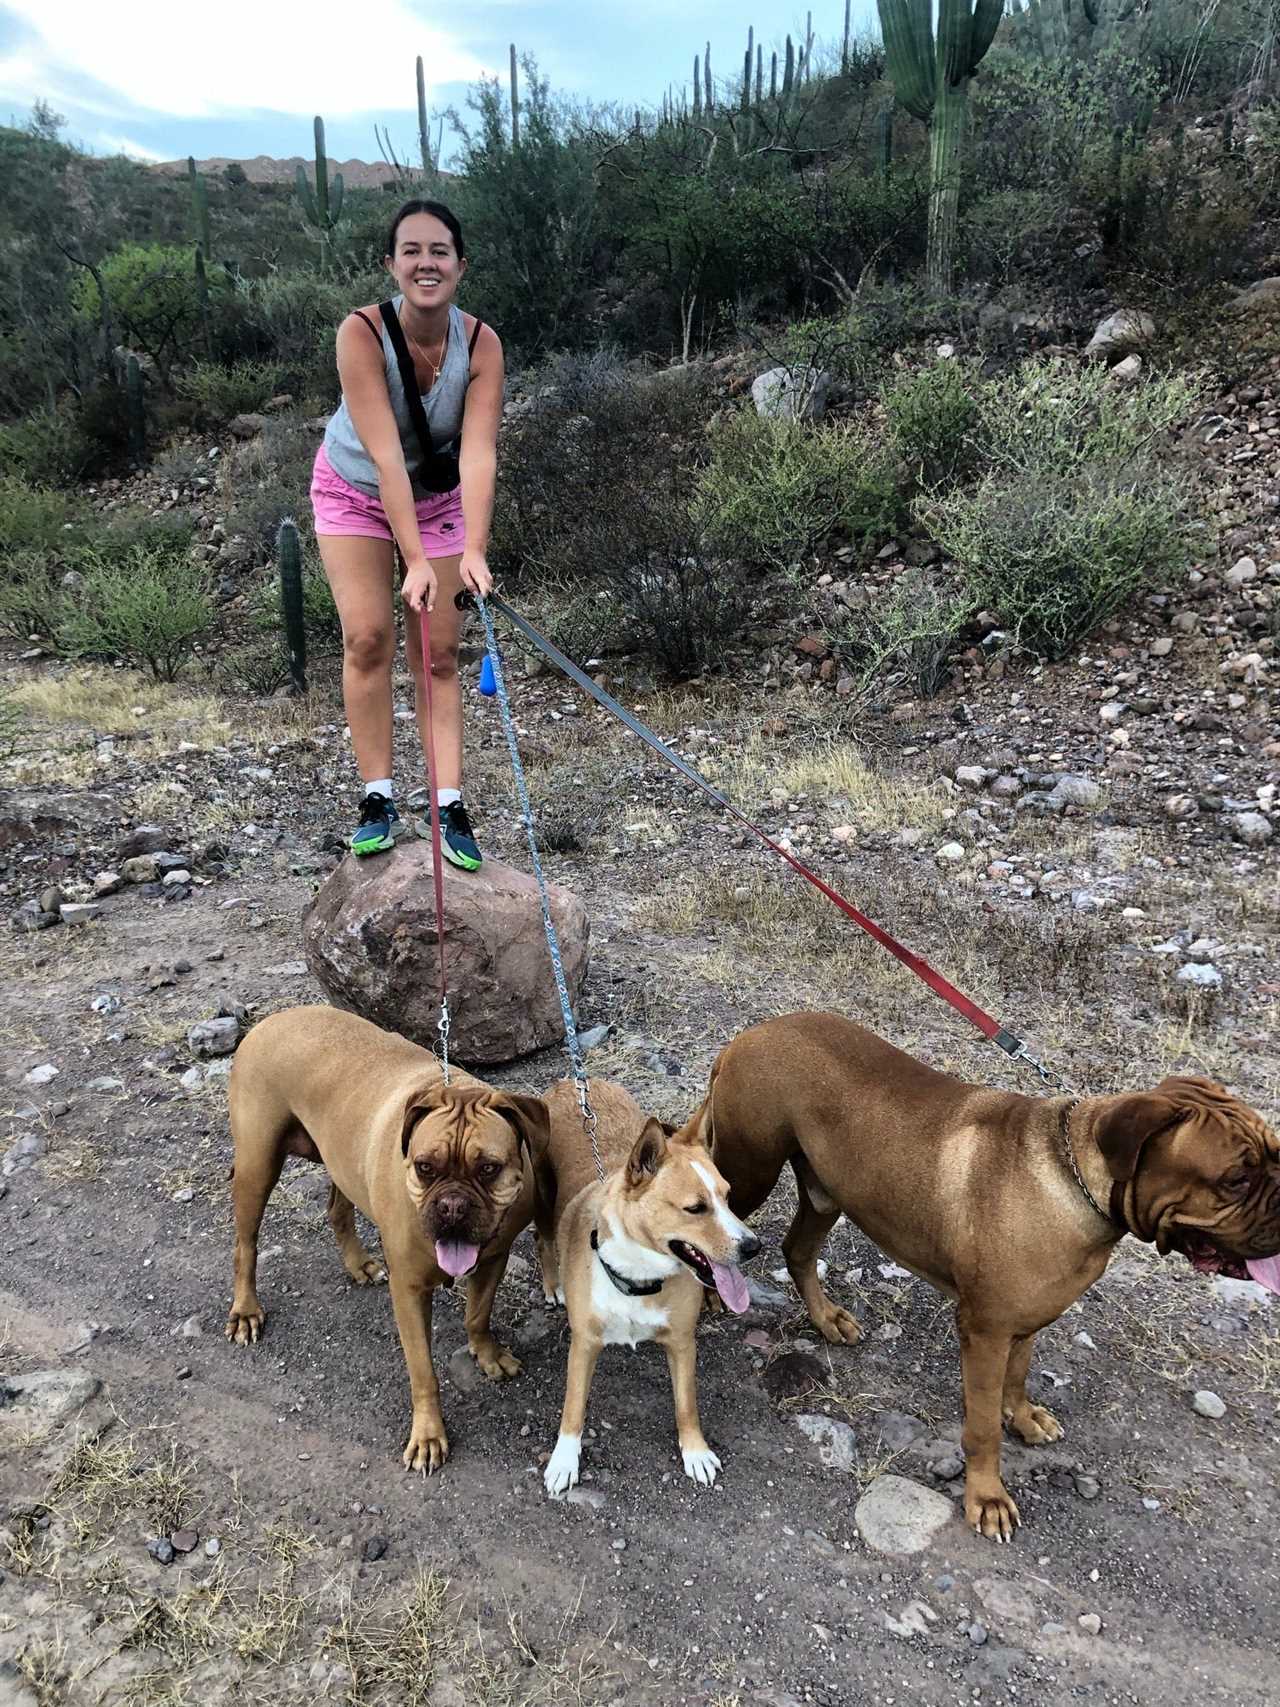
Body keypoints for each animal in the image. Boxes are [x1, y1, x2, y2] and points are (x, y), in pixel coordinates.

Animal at [228, 1003, 549, 1474]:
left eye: (489, 1169)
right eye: (425, 1167)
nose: (452, 1206)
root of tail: (272, 1019)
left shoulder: (494, 1258)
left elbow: (477, 1315)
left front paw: (486, 1355)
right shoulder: (410, 1290)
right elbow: (423, 1371)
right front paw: (429, 1435)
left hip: (338, 1157)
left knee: (338, 1209)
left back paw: (357, 1264)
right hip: (257, 1165)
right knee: (246, 1246)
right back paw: (246, 1311)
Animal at [532, 1078, 761, 1495]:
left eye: (727, 1197)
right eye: (695, 1208)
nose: (754, 1247)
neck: (638, 1277)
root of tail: (574, 1081)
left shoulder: (682, 1342)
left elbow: (686, 1404)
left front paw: (695, 1451)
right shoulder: (584, 1344)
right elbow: (573, 1407)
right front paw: (564, 1460)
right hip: (542, 1198)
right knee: (543, 1239)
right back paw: (553, 1284)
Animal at [686, 1010, 1276, 1549]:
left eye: (1275, 1155)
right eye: (1235, 1179)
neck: (1077, 1180)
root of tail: (748, 1036)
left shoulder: (1025, 1318)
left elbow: (1019, 1375)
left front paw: (1024, 1415)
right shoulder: (985, 1332)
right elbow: (983, 1426)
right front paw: (987, 1497)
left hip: (825, 1191)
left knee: (798, 1251)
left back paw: (827, 1318)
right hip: (750, 1171)